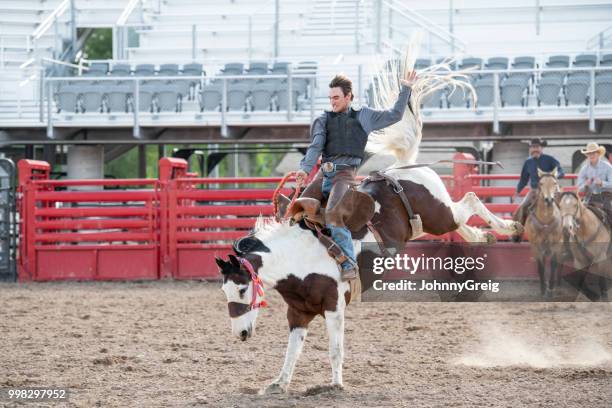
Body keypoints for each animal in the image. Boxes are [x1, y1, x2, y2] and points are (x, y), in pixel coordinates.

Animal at [214, 42, 520, 396]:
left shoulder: (334, 306)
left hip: (440, 214)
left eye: (240, 290)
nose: (240, 335)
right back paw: (482, 236)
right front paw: (279, 383)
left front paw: (335, 384)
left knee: (469, 200)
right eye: (224, 292)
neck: (296, 261)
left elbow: (335, 349)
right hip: (428, 223)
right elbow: (292, 351)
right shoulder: (298, 313)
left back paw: (509, 226)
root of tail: (403, 168)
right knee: (462, 219)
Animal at [524, 167, 560, 298]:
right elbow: (540, 266)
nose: (549, 200)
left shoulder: (556, 245)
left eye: (554, 183)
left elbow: (554, 264)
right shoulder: (536, 246)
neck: (545, 220)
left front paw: (551, 289)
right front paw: (543, 289)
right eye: (541, 183)